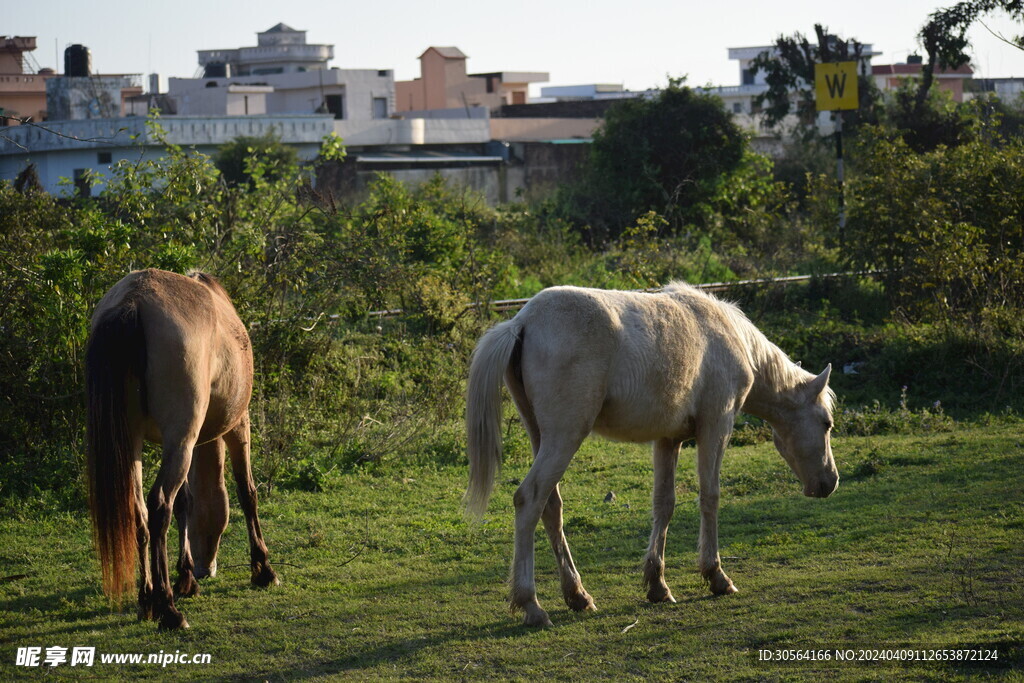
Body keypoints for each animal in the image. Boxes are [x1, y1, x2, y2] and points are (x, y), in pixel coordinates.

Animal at [86, 268, 276, 630]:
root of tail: (134, 300)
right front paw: (263, 569)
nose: (205, 567)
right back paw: (168, 609)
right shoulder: (236, 425)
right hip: (183, 441)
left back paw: (147, 600)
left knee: (141, 514)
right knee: (160, 506)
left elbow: (186, 502)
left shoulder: (181, 442)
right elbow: (247, 492)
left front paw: (186, 578)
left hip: (139, 443)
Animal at [468, 280, 835, 626]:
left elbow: (664, 504)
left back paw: (577, 595)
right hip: (564, 437)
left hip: (541, 436)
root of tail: (523, 321)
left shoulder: (668, 439)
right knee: (529, 499)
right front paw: (716, 576)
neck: (730, 335)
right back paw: (532, 606)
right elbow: (710, 497)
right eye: (827, 423)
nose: (830, 482)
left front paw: (657, 585)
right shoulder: (717, 425)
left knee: (550, 506)